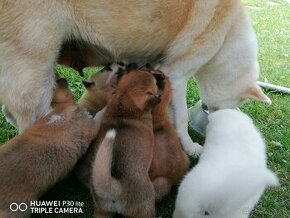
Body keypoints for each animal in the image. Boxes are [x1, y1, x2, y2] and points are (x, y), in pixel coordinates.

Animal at [0, 0, 272, 156]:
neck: (228, 34)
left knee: (11, 112)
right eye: (238, 103)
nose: (216, 118)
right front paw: (190, 147)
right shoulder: (177, 74)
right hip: (34, 77)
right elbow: (182, 118)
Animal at [90, 68, 163, 218]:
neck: (123, 101)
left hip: (101, 211)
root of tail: (114, 188)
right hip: (145, 208)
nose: (158, 78)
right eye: (154, 83)